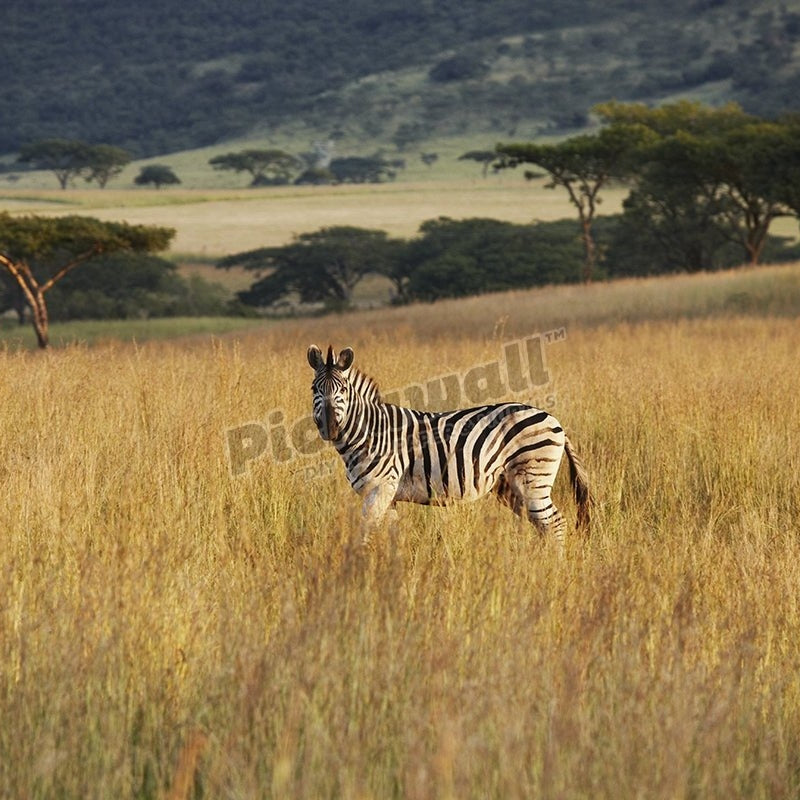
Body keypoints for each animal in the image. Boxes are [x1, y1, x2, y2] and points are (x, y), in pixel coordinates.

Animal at [307, 344, 590, 548]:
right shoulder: (388, 496)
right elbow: (391, 535)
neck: (369, 431)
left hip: (532, 480)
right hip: (509, 486)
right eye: (314, 390)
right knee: (543, 526)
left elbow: (365, 533)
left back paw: (553, 569)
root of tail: (554, 420)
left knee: (555, 524)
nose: (330, 428)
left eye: (343, 389)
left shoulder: (380, 488)